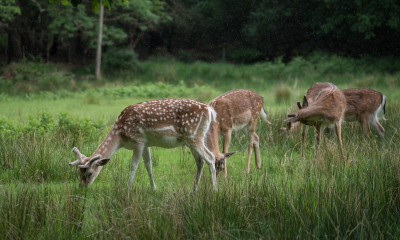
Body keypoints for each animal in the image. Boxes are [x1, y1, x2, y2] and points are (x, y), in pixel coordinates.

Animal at [69, 97, 219, 191]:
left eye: (89, 173)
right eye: (78, 172)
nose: (81, 187)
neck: (120, 135)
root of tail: (210, 110)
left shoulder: (139, 140)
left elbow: (133, 165)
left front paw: (128, 188)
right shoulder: (147, 143)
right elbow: (149, 165)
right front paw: (154, 188)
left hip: (194, 136)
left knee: (210, 157)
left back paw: (214, 189)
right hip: (191, 139)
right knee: (200, 161)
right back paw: (194, 190)